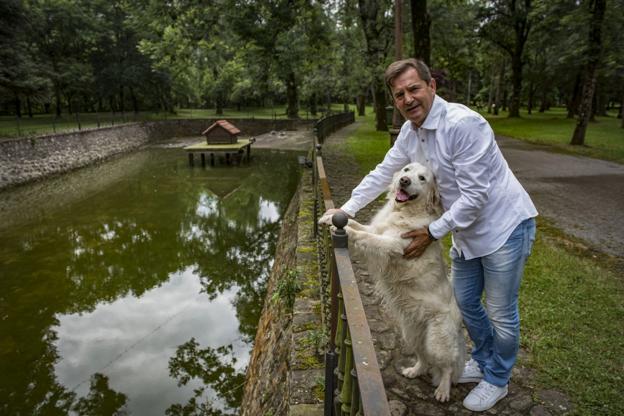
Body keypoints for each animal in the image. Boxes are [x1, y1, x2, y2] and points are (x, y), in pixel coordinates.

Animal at [322, 162, 464, 400]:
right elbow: (360, 226)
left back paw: (443, 390)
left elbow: (366, 237)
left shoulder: (393, 244)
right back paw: (414, 371)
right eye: (406, 170)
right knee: (424, 358)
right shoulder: (376, 229)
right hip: (412, 334)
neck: (403, 211)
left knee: (447, 365)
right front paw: (331, 218)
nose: (404, 181)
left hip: (437, 340)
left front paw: (344, 230)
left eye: (422, 178)